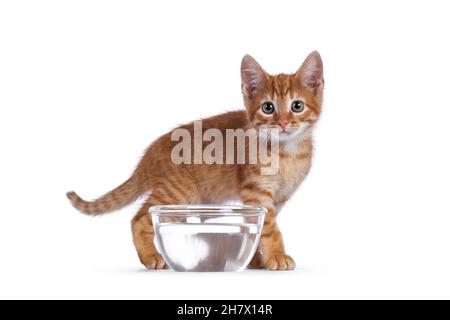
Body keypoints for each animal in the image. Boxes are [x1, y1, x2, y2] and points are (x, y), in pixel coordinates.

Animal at [67, 52, 324, 270]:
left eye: (297, 106)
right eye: (268, 108)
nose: (282, 123)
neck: (288, 153)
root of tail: (149, 154)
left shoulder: (277, 198)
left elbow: (261, 227)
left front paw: (259, 259)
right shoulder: (256, 191)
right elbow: (270, 229)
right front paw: (277, 256)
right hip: (178, 192)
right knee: (138, 218)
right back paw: (150, 256)